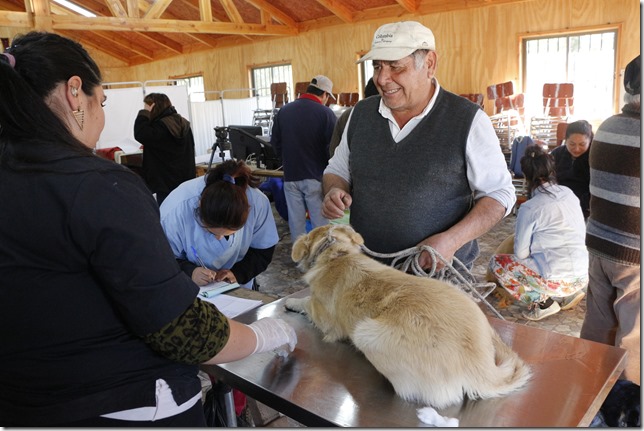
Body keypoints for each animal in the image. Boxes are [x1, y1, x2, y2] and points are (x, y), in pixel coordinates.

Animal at [284, 224, 532, 410]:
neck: (336, 252)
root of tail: (479, 364)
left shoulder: (324, 317)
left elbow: (306, 301)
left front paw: (291, 302)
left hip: (365, 333)